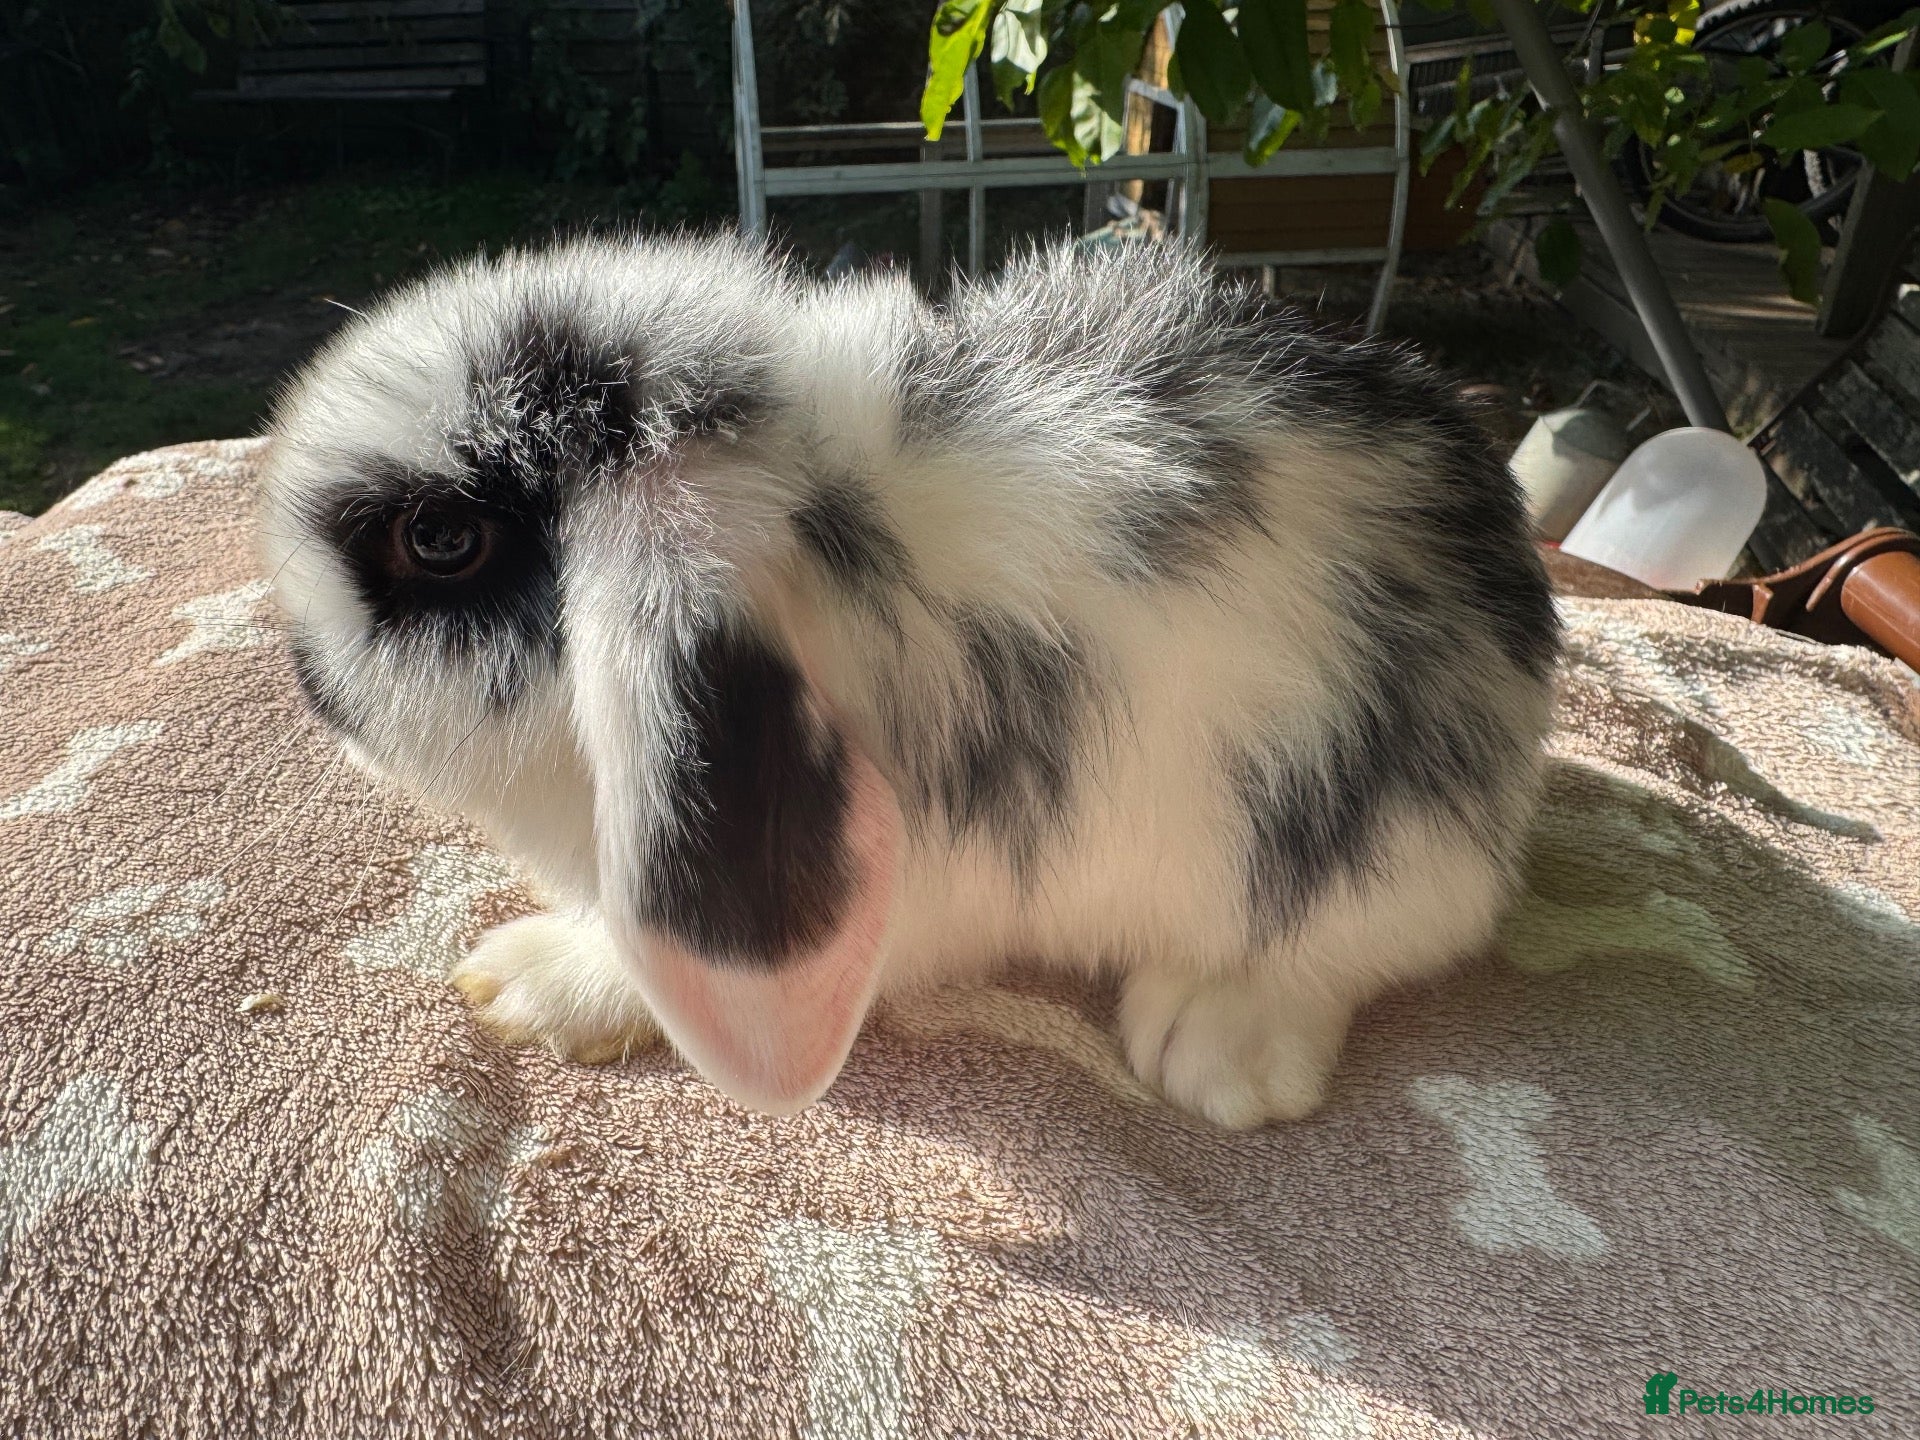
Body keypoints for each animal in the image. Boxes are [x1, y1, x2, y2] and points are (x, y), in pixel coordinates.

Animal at [257, 233, 1560, 1128]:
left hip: (1364, 847)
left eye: (438, 538)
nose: (307, 680)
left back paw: (1216, 1044)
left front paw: (533, 983)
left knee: (1375, 937)